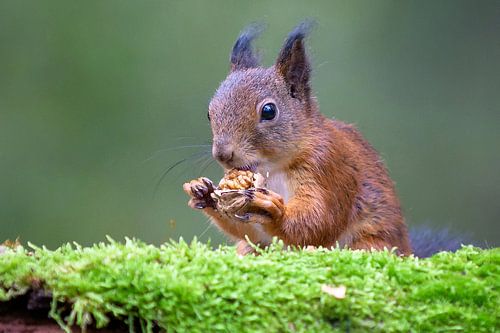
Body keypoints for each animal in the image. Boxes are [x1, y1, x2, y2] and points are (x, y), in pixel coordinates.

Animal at [182, 22, 412, 255]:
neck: (272, 168)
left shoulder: (328, 168)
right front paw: (203, 192)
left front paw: (275, 213)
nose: (222, 154)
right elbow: (250, 231)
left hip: (372, 242)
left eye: (268, 111)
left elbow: (319, 220)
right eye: (209, 113)